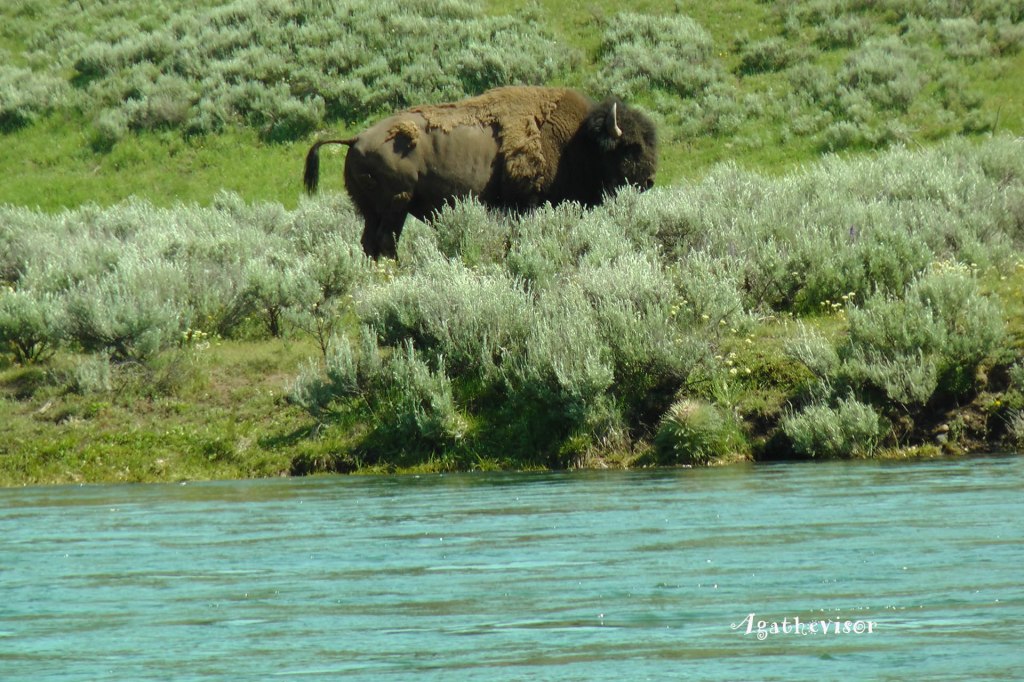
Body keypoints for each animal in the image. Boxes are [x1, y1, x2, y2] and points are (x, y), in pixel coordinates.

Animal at [303, 86, 657, 259]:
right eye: (630, 147)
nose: (649, 181)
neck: (574, 141)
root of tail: (356, 138)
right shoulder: (528, 202)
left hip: (372, 210)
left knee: (369, 242)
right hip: (395, 205)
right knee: (385, 241)